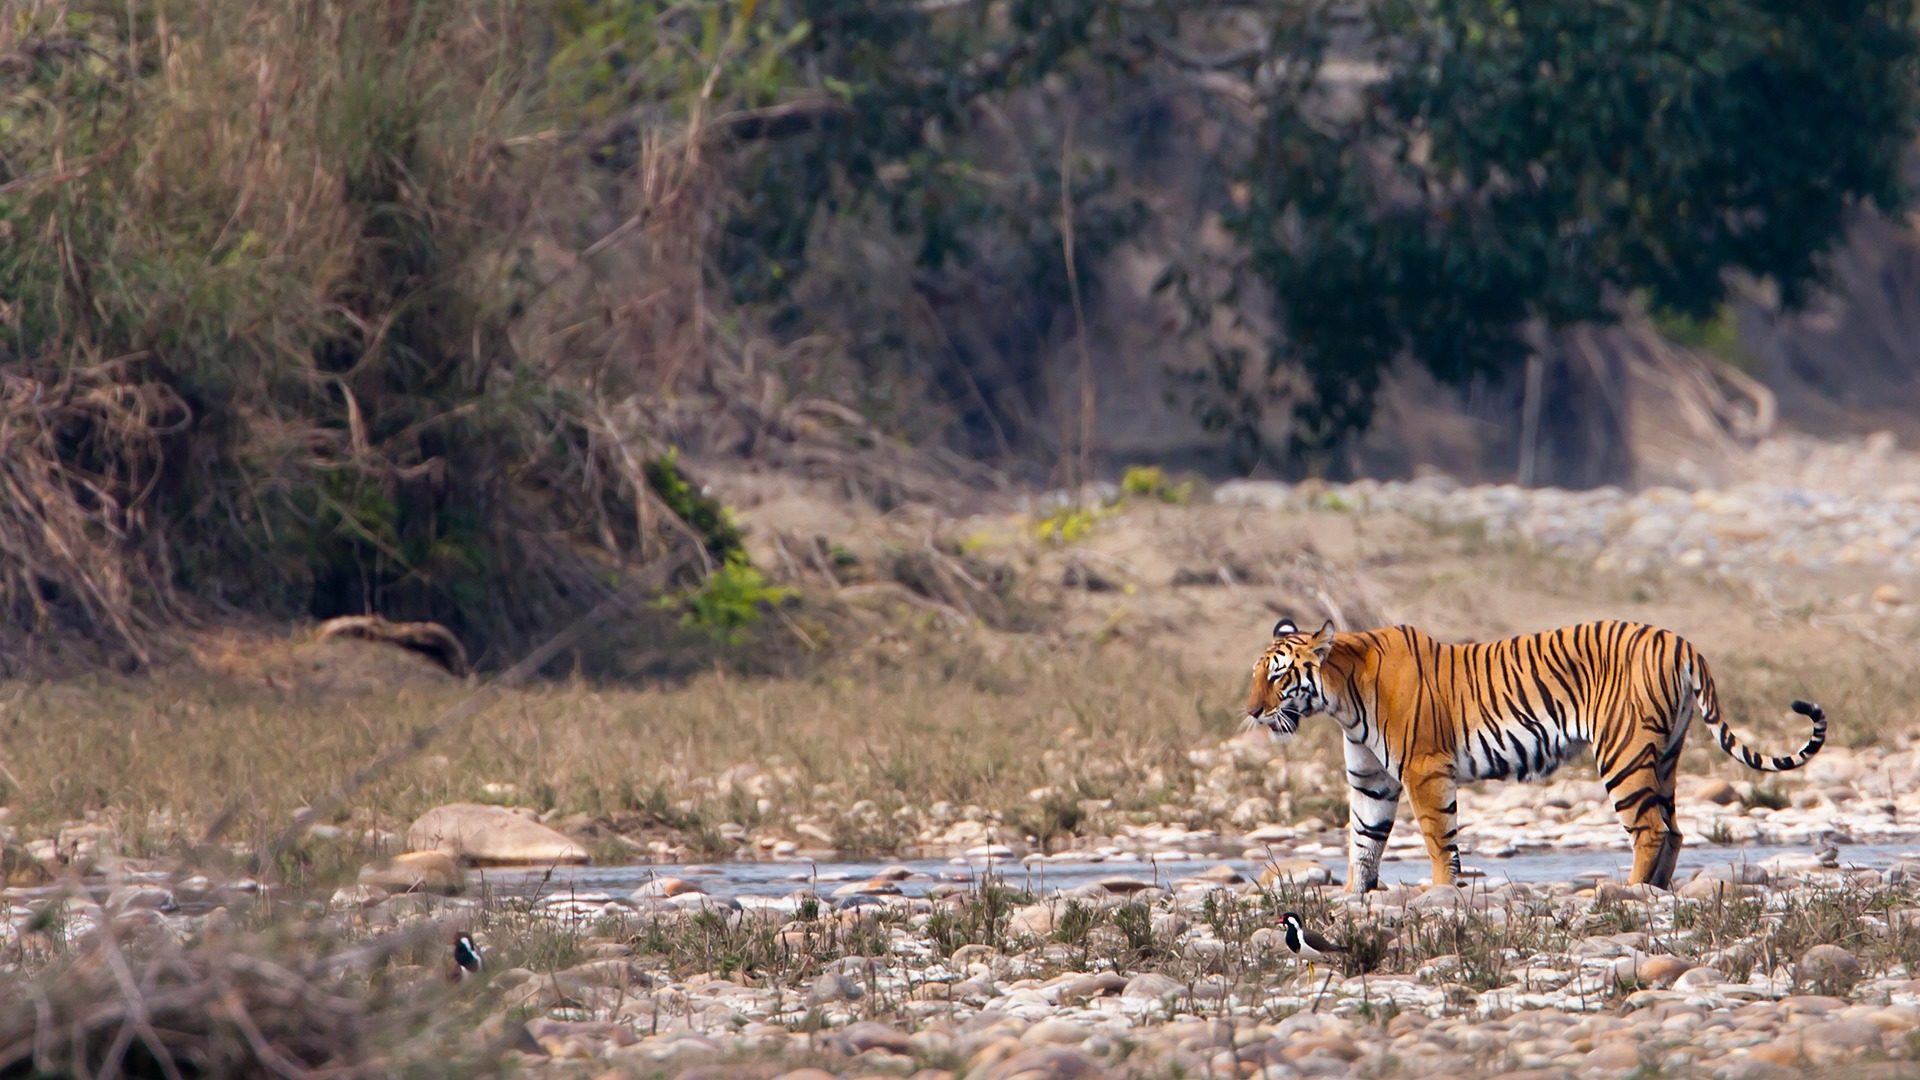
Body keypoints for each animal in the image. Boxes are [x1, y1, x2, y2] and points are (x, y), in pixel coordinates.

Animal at [1244, 618, 1827, 887]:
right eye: (1255, 674)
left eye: (1277, 677)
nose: (1250, 712)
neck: (1341, 699)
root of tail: (1682, 642)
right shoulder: (1371, 781)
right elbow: (1363, 844)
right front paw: (1354, 897)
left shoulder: (1425, 771)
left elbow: (1438, 841)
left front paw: (1440, 892)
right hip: (1664, 755)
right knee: (1675, 829)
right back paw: (1656, 891)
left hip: (1623, 753)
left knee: (1650, 829)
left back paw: (1629, 892)